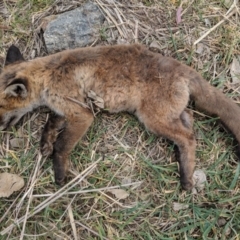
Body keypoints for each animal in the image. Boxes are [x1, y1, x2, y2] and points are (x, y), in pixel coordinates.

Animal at [0, 44, 240, 189]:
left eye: (0, 109)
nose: (1, 128)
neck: (48, 73)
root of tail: (183, 69)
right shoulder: (65, 108)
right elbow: (51, 124)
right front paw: (45, 144)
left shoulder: (81, 113)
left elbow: (62, 145)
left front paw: (59, 173)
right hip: (170, 114)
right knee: (188, 121)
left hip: (152, 119)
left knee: (189, 138)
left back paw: (186, 178)